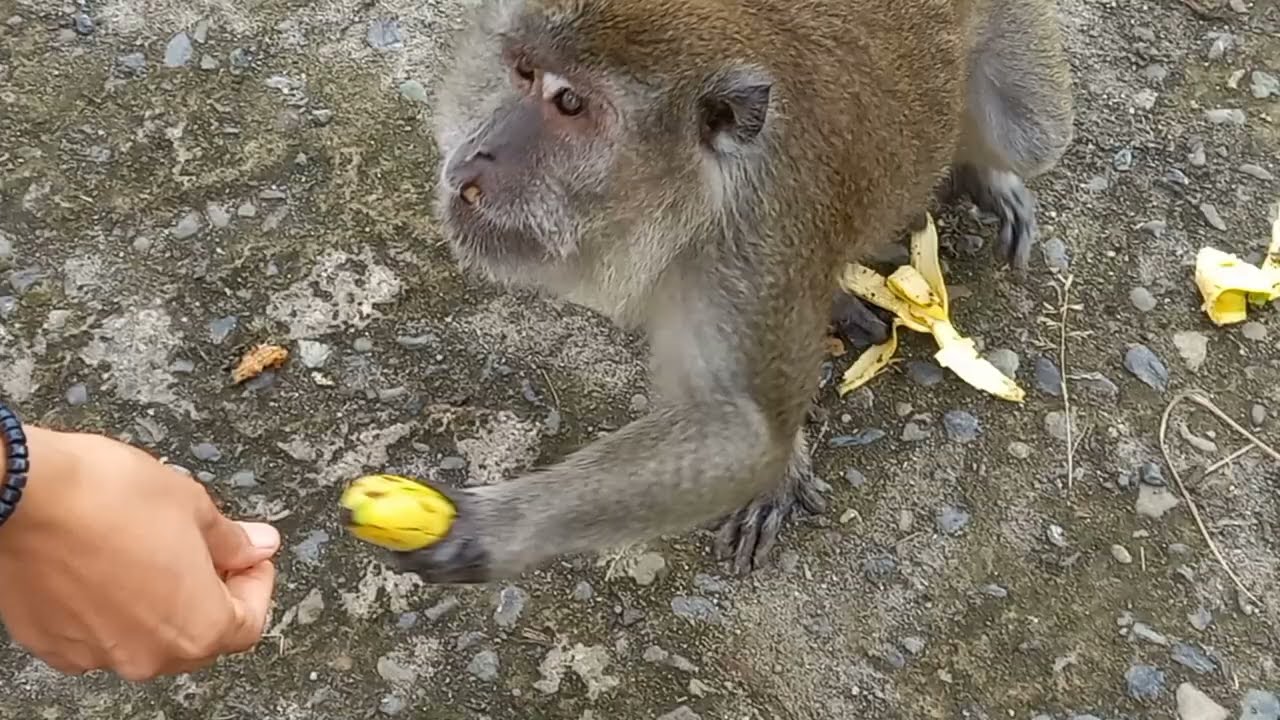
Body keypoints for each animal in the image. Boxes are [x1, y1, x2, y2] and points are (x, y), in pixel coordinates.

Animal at [392, 0, 1074, 583]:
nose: (478, 155)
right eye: (524, 72)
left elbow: (745, 429)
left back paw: (986, 173)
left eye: (570, 103)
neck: (692, 199)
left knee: (1035, 134)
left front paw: (489, 529)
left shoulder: (760, 237)